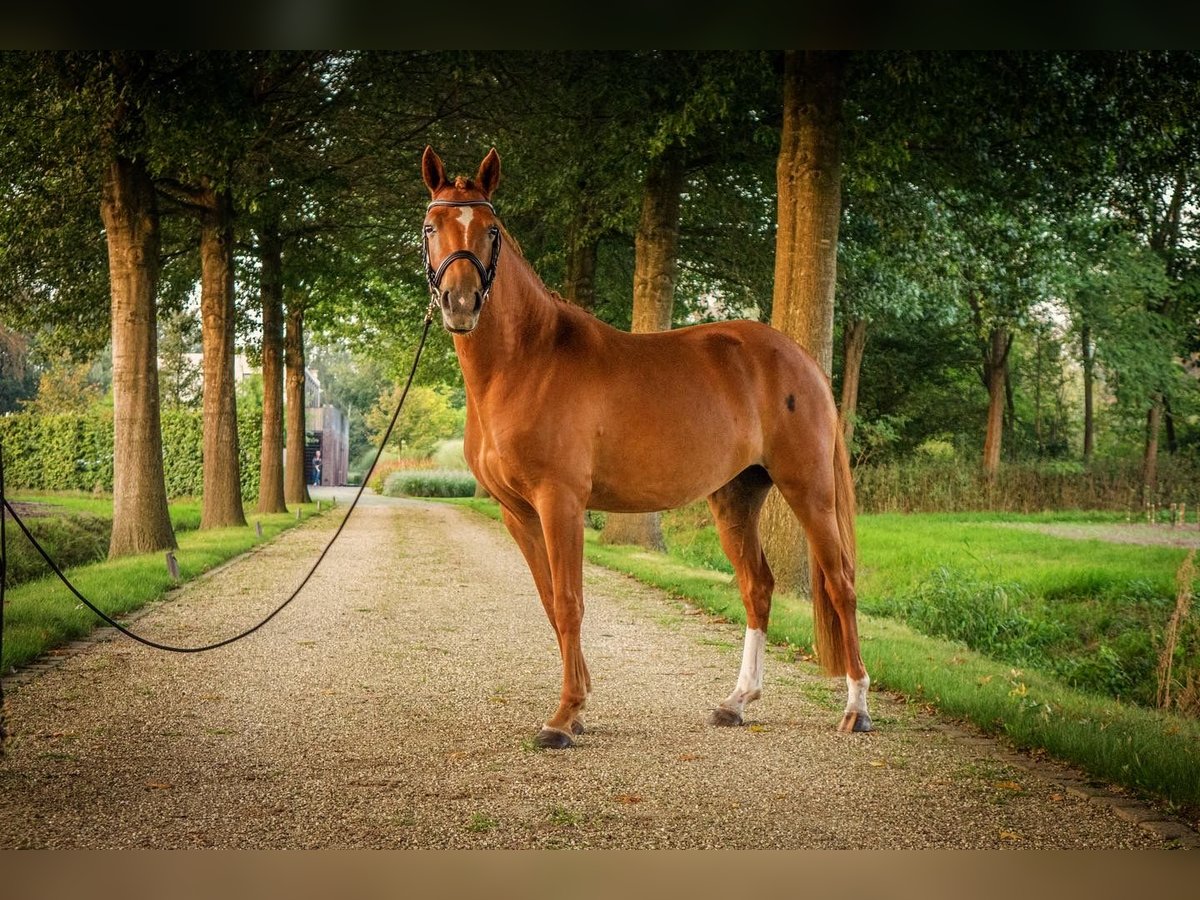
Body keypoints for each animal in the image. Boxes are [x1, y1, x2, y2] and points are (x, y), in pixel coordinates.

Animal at [417, 150, 868, 753]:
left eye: (490, 230)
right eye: (430, 227)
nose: (460, 303)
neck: (526, 362)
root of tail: (801, 359)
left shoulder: (561, 503)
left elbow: (569, 602)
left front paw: (563, 718)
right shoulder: (517, 513)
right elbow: (550, 603)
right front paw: (578, 705)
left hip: (810, 490)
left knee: (841, 584)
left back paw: (856, 708)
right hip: (736, 497)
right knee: (758, 587)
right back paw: (738, 702)